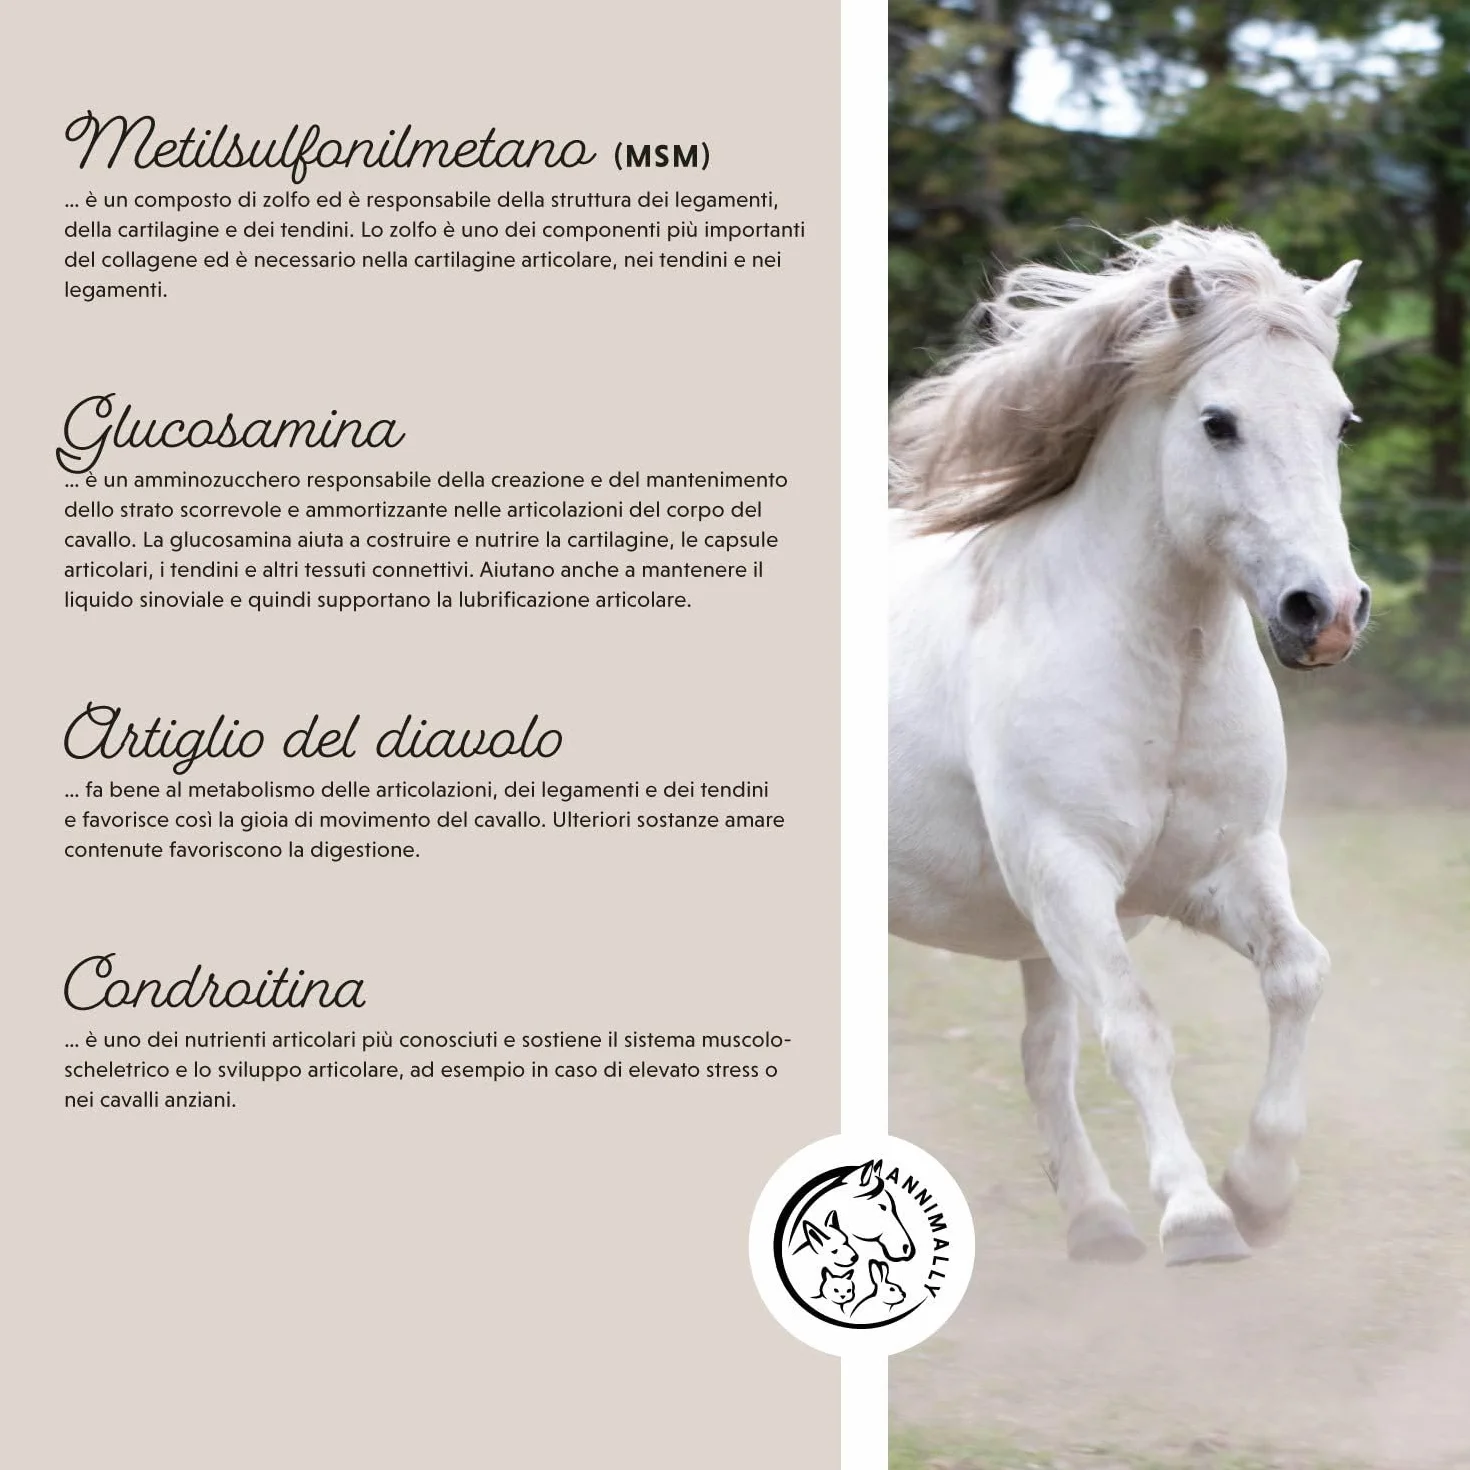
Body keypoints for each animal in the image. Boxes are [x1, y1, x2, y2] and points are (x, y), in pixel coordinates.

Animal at [888, 224, 1370, 1267]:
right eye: (1218, 422)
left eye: (1340, 423)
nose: (1325, 614)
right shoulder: (1068, 873)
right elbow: (1138, 1029)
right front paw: (1197, 1217)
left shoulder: (1223, 866)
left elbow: (1298, 973)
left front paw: (1260, 1188)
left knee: (1044, 1056)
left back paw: (1098, 1222)